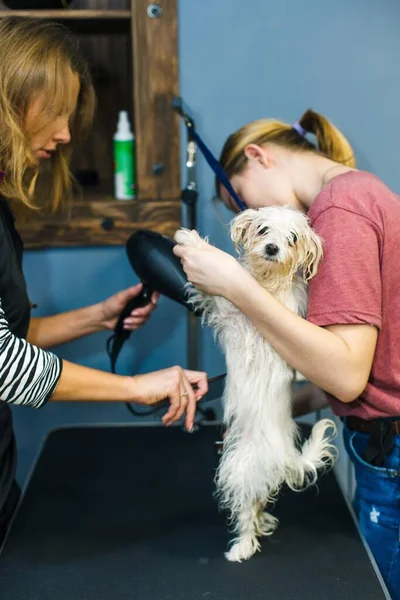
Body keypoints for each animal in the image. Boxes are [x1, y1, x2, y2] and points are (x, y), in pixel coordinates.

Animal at [175, 206, 338, 564]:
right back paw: (264, 522)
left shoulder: (237, 317)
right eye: (263, 230)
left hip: (238, 468)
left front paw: (192, 241)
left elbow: (217, 294)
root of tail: (288, 458)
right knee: (260, 501)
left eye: (292, 238)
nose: (273, 248)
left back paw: (242, 546)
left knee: (247, 511)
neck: (267, 285)